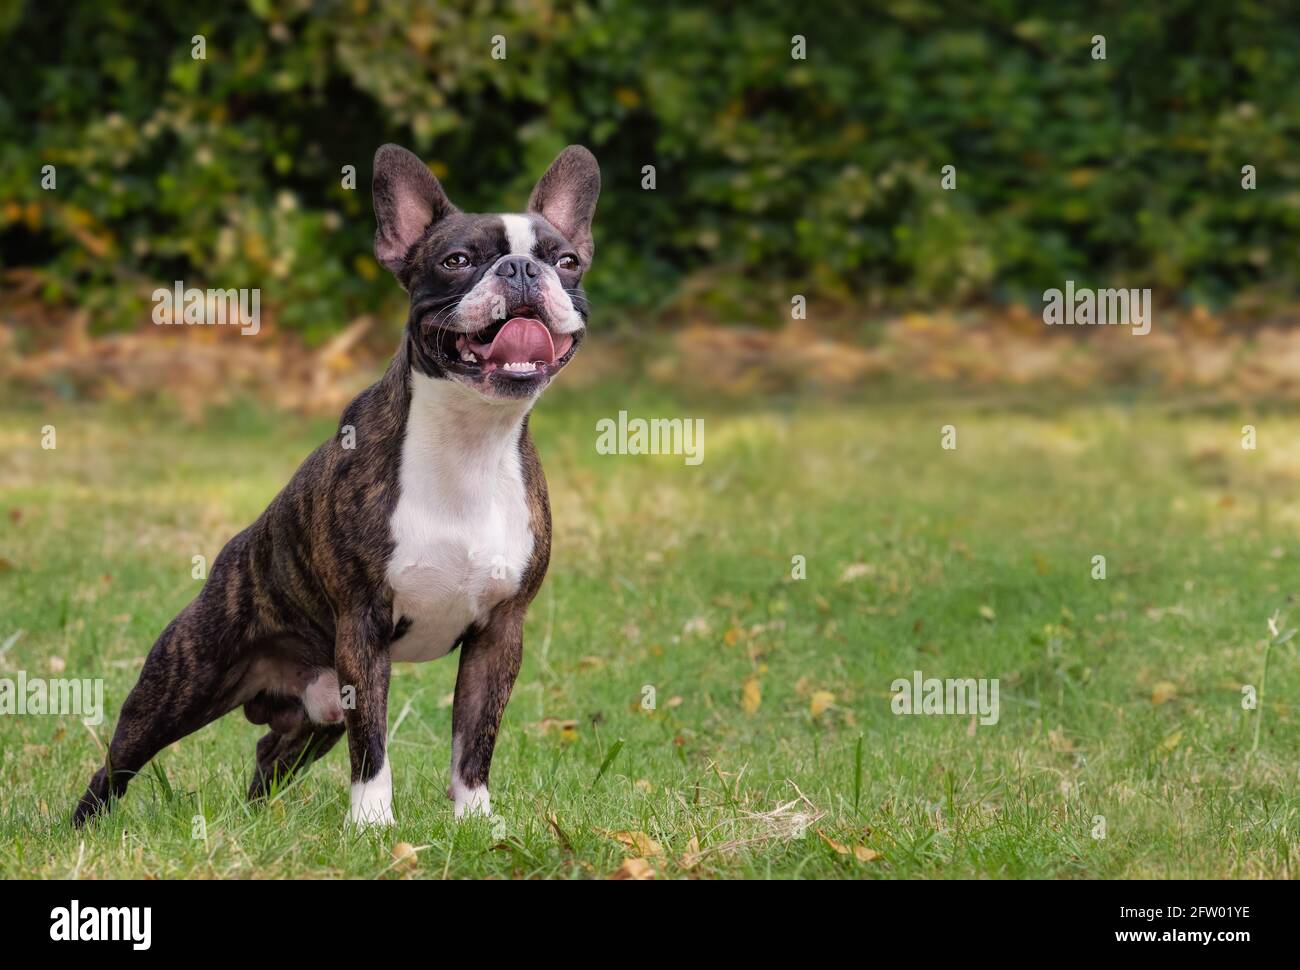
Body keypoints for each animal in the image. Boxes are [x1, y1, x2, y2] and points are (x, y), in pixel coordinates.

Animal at [71, 141, 598, 821]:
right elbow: (372, 742)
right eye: (456, 261)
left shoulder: (499, 633)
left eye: (566, 261)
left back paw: (256, 819)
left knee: (270, 753)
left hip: (312, 716)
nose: (523, 270)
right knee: (120, 759)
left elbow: (474, 738)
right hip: (181, 682)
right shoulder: (363, 627)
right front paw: (373, 823)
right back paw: (85, 824)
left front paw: (476, 818)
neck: (471, 438)